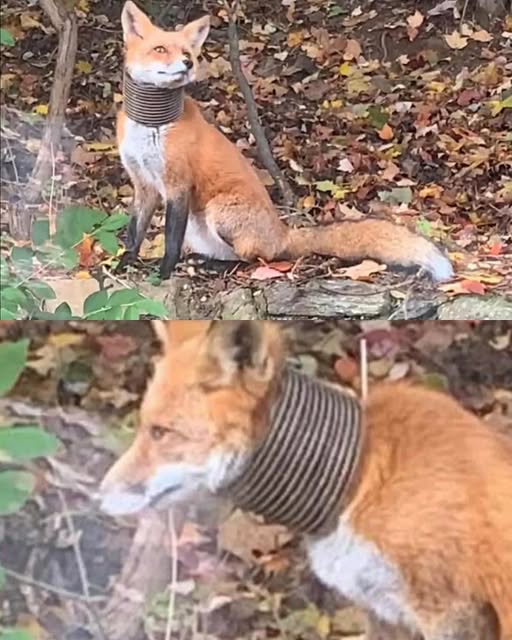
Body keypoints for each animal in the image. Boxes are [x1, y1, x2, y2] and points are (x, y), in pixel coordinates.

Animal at [99, 320, 512, 640]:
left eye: (161, 432)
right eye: (145, 426)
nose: (99, 497)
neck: (359, 480)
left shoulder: (453, 612)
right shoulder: (385, 613)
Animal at [116, 1, 454, 281]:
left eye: (188, 53)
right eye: (160, 49)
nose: (187, 64)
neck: (151, 123)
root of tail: (283, 232)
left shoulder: (177, 184)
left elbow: (170, 241)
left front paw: (163, 273)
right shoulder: (143, 183)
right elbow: (134, 231)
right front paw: (124, 263)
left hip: (219, 211)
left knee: (254, 259)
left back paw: (214, 267)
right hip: (200, 228)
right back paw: (201, 261)